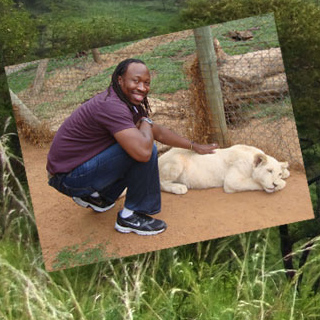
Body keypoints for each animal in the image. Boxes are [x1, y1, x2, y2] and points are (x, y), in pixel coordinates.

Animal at [158, 144, 290, 194]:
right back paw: (179, 188)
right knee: (161, 183)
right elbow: (253, 182)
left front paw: (284, 173)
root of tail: (159, 158)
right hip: (177, 161)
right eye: (269, 171)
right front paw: (280, 184)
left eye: (278, 173)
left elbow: (286, 172)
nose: (274, 184)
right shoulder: (231, 181)